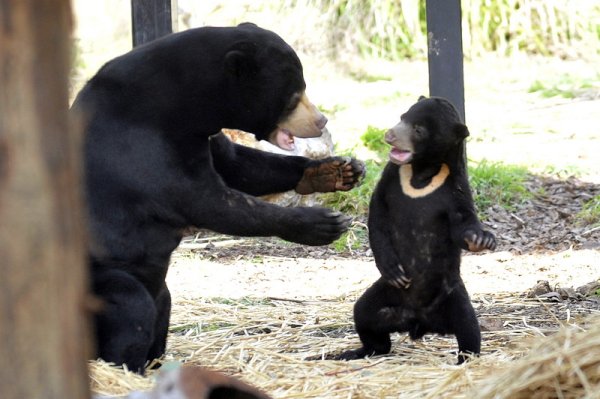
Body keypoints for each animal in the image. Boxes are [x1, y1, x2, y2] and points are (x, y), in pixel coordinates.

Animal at [75, 23, 366, 374]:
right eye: (294, 95)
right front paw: (322, 223)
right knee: (131, 309)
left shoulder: (204, 135)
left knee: (161, 310)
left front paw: (339, 170)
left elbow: (238, 164)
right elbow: (208, 200)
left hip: (159, 289)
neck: (184, 105)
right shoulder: (142, 144)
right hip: (101, 278)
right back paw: (127, 368)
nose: (321, 120)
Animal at [338, 97, 496, 366]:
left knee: (468, 327)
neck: (421, 171)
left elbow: (462, 223)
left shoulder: (455, 187)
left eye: (419, 130)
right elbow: (378, 214)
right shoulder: (392, 175)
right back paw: (359, 352)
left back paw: (465, 360)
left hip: (452, 293)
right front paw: (392, 269)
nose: (389, 134)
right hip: (387, 294)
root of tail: (419, 322)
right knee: (364, 315)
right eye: (402, 117)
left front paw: (481, 239)